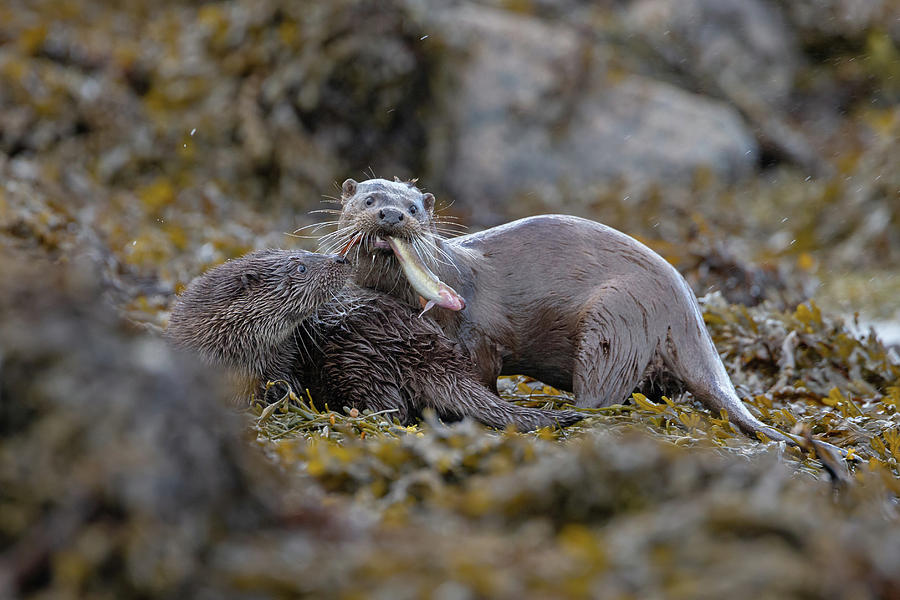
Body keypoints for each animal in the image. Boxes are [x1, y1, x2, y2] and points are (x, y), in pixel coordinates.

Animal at [165, 248, 580, 432]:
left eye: (305, 255)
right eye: (300, 266)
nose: (339, 259)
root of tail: (418, 347)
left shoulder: (281, 366)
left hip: (353, 357)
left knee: (392, 409)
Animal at [326, 176, 816, 448]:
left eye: (413, 207)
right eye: (369, 200)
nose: (392, 215)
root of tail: (686, 307)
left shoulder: (477, 335)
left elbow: (481, 377)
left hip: (615, 317)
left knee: (601, 395)